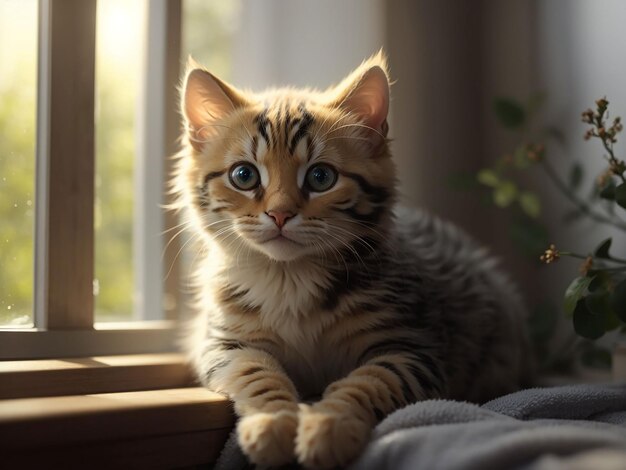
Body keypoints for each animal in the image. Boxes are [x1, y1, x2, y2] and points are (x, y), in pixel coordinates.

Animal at [176, 52, 532, 470]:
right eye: (244, 175)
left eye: (320, 177)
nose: (280, 214)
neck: (290, 278)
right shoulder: (223, 345)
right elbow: (256, 372)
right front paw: (272, 423)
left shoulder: (412, 349)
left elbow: (370, 381)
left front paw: (329, 424)